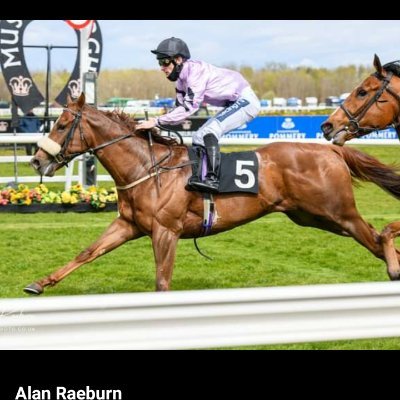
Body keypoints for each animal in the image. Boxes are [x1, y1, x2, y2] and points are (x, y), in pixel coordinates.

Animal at [25, 93, 400, 294]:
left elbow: (162, 280)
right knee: (375, 241)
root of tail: (332, 149)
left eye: (61, 125)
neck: (147, 168)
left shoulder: (166, 231)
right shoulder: (128, 225)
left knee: (377, 235)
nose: (36, 159)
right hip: (313, 217)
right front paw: (39, 283)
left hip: (338, 212)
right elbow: (88, 252)